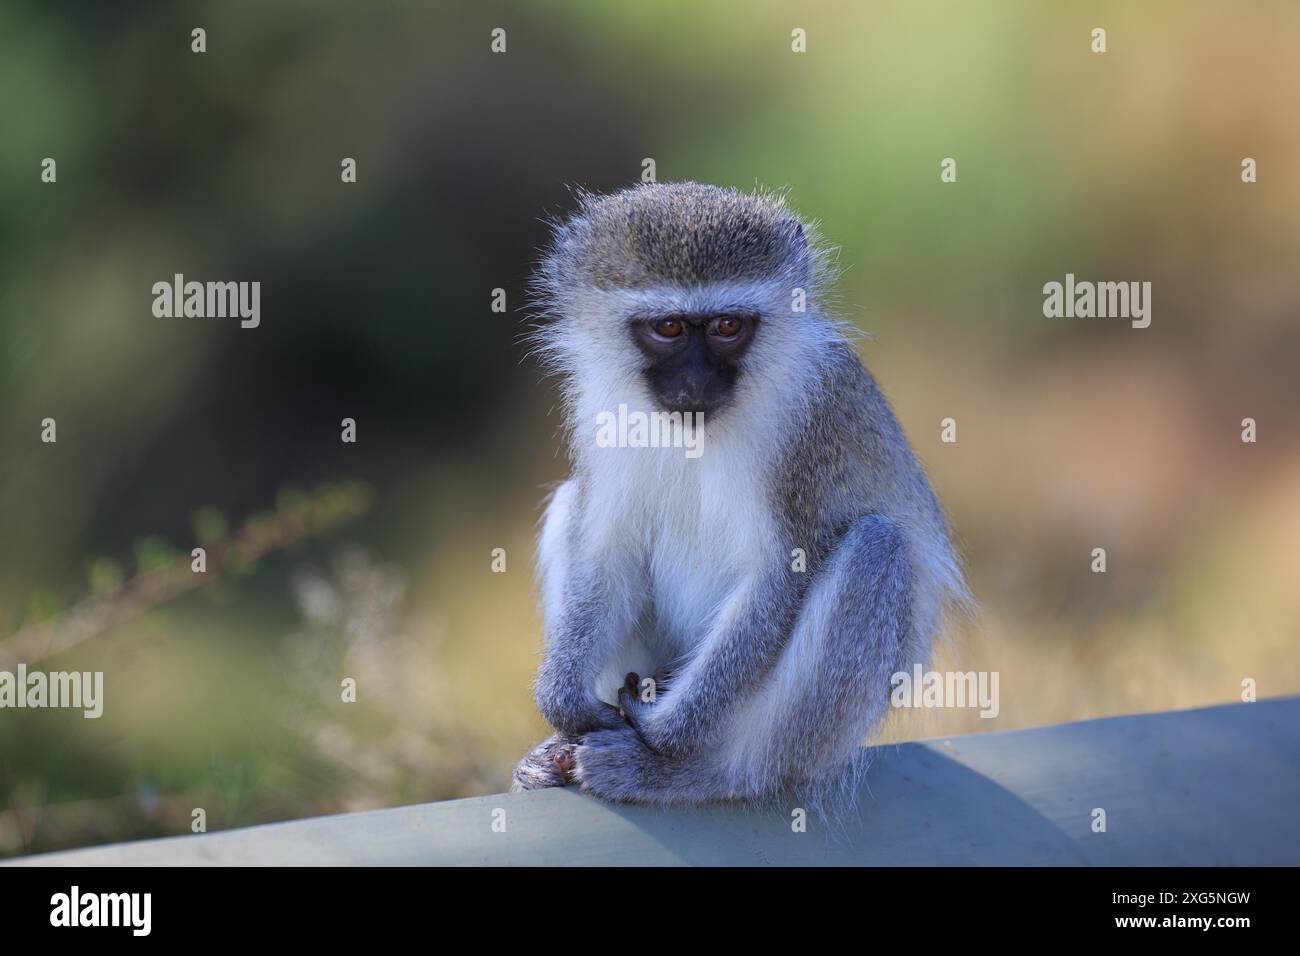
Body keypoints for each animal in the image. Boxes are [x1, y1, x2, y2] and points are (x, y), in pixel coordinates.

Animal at [511, 182, 967, 807]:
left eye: (728, 326)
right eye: (670, 328)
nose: (696, 383)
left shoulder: (807, 425)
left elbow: (779, 573)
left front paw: (664, 731)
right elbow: (608, 549)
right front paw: (563, 702)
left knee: (876, 548)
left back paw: (694, 774)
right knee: (568, 505)